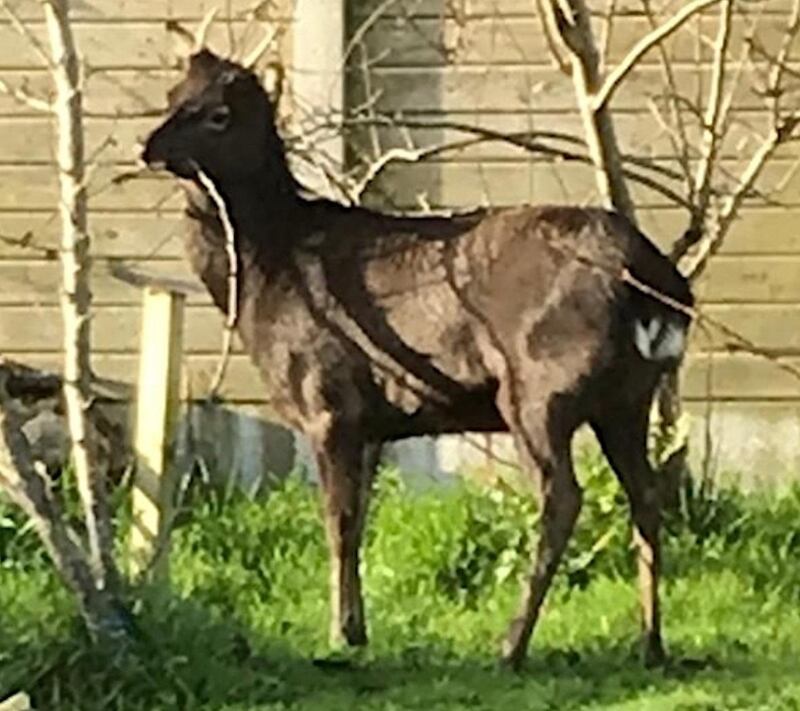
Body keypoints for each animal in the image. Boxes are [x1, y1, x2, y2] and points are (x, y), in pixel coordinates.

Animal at [141, 41, 693, 669]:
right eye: (172, 95)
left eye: (219, 114)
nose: (149, 147)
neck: (267, 273)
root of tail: (654, 280)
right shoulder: (375, 422)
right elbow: (359, 520)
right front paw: (357, 627)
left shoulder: (328, 400)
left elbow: (336, 519)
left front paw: (340, 633)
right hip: (628, 398)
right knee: (646, 497)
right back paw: (650, 643)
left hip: (538, 389)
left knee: (563, 498)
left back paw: (512, 645)